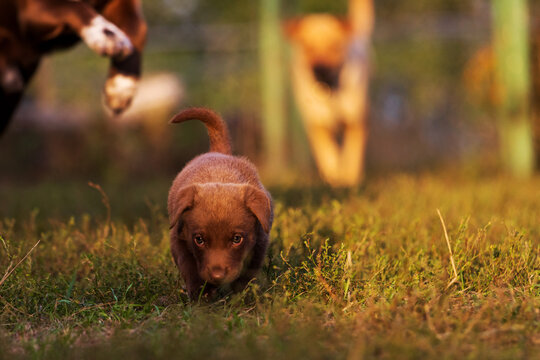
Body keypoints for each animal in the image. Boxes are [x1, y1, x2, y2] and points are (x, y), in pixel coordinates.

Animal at [0, 0, 148, 135]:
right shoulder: (31, 9)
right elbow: (74, 5)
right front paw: (105, 34)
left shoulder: (122, 4)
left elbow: (137, 26)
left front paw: (121, 86)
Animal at [167, 108, 272, 300]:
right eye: (199, 240)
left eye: (237, 239)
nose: (217, 276)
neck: (220, 178)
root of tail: (219, 152)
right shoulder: (178, 238)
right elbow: (189, 267)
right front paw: (201, 294)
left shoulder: (260, 242)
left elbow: (247, 273)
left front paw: (240, 296)